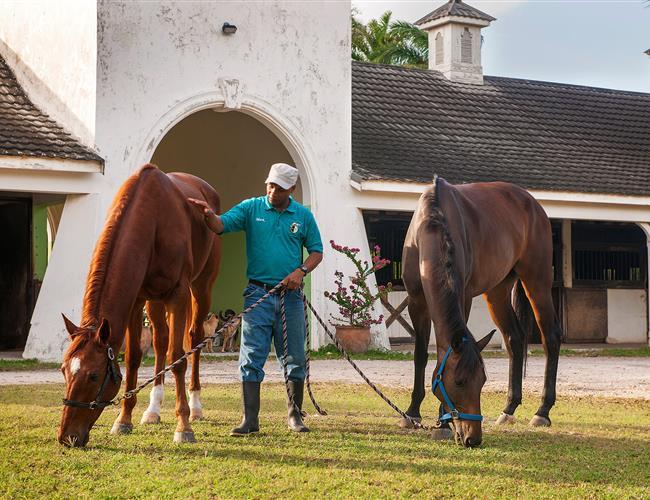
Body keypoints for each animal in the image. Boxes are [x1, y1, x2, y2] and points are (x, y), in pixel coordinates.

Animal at [58, 164, 221, 446]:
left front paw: (183, 426)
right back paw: (153, 409)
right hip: (154, 301)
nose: (67, 437)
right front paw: (124, 419)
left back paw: (195, 407)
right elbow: (134, 356)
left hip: (201, 287)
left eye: (93, 375)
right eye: (63, 370)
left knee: (194, 340)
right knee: (160, 342)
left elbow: (178, 358)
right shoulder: (136, 299)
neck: (152, 218)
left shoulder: (177, 295)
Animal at [401, 176, 562, 447]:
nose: (473, 438)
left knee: (550, 337)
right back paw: (509, 408)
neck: (430, 227)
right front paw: (412, 412)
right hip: (497, 292)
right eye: (459, 382)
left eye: (483, 382)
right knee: (514, 339)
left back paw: (543, 411)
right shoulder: (416, 302)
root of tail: (533, 204)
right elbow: (420, 356)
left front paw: (442, 424)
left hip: (537, 282)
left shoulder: (463, 298)